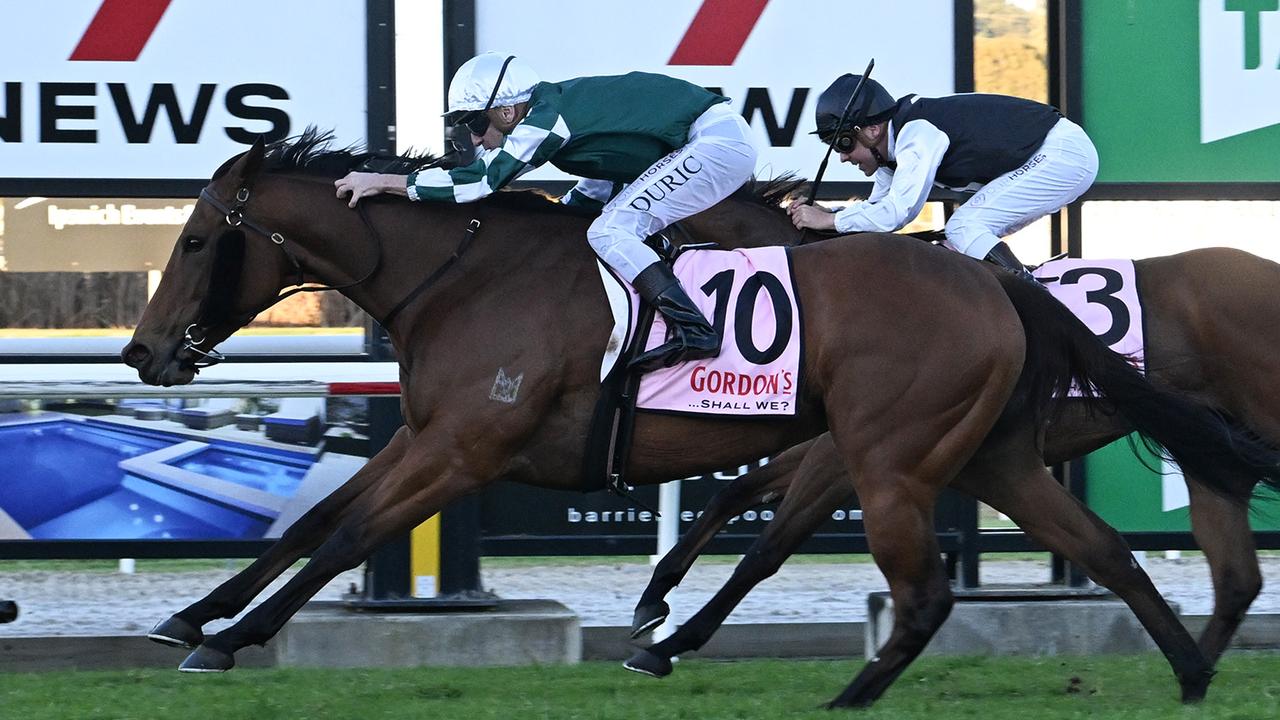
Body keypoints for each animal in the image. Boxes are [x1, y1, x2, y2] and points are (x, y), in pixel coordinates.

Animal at [122, 131, 1280, 702]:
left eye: (194, 242)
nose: (142, 352)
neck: (463, 276)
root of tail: (995, 290)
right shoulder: (427, 432)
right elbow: (319, 521)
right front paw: (194, 617)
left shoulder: (468, 446)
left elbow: (351, 535)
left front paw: (231, 639)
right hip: (993, 456)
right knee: (1135, 556)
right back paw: (1190, 673)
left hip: (902, 454)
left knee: (961, 583)